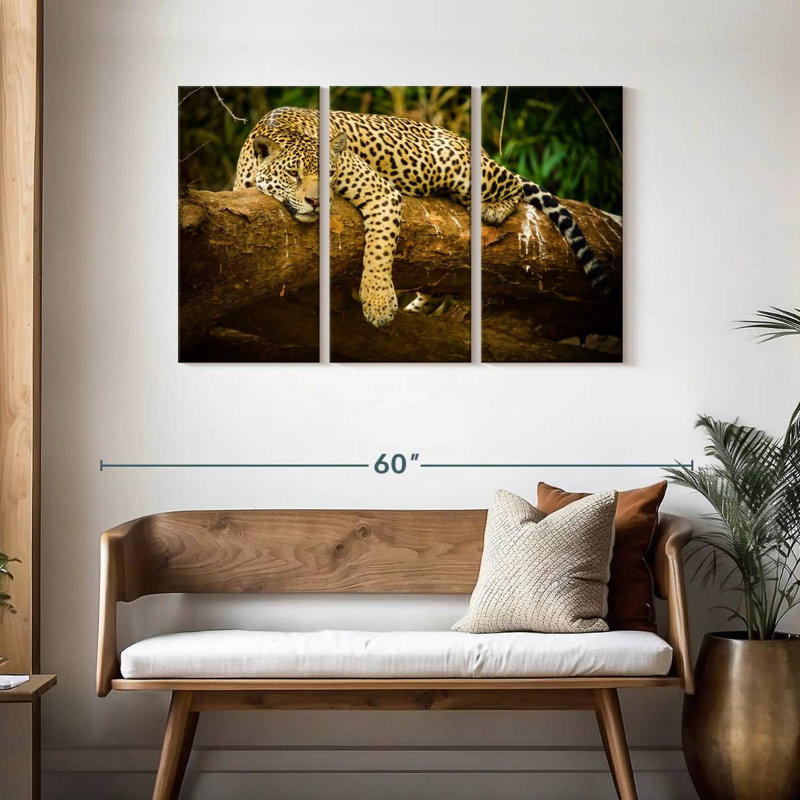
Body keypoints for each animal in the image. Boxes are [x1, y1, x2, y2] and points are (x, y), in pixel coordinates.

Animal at [234, 106, 610, 328]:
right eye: (293, 174)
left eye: (329, 174)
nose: (315, 201)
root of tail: (470, 143)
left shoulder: (381, 192)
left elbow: (378, 251)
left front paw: (378, 303)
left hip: (461, 167)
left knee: (514, 184)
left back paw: (491, 208)